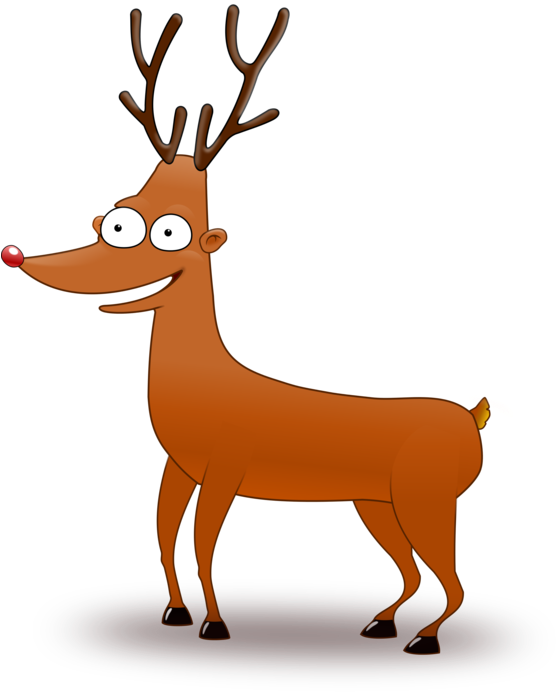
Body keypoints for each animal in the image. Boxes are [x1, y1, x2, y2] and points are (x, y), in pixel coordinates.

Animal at [2, 4, 496, 656]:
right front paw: (176, 612)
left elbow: (202, 542)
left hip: (426, 500)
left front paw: (214, 623)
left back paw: (424, 639)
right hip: (376, 503)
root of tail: (473, 416)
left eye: (168, 232)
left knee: (455, 580)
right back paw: (382, 623)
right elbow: (165, 534)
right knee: (415, 573)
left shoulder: (226, 469)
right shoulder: (178, 467)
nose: (17, 258)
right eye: (113, 220)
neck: (204, 380)